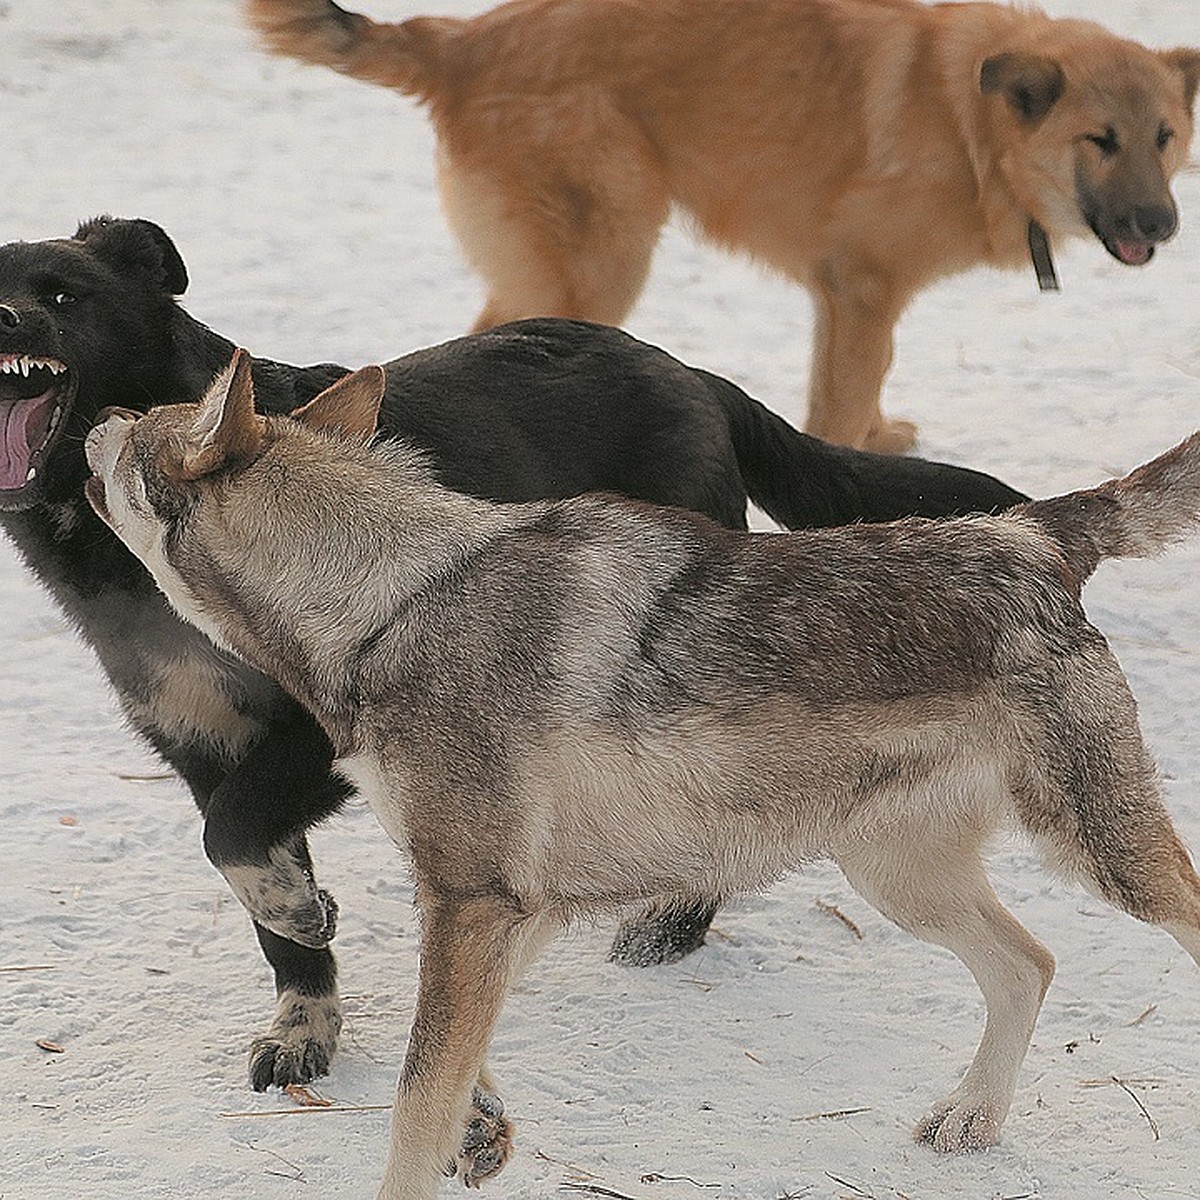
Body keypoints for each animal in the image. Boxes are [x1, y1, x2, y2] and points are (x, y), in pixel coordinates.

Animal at [0, 213, 1027, 1089]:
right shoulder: (201, 746)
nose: (6, 315)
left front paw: (299, 913)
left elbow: (235, 835)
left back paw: (672, 925)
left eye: (62, 294)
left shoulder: (325, 732)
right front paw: (302, 1019)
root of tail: (692, 373)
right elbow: (254, 883)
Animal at [84, 350, 1200, 1195]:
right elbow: (455, 1068)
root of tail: (1031, 533)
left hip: (1103, 858)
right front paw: (482, 1131)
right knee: (1030, 965)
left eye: (143, 422)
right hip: (900, 879)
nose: (97, 412)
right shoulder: (510, 908)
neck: (391, 601)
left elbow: (412, 1102)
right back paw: (972, 1120)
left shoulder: (473, 902)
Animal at [246, 0, 1200, 451]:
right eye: (1101, 140)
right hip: (603, 262)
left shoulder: (852, 299)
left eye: (1164, 137)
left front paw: (880, 440)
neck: (974, 125)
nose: (1161, 224)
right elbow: (843, 401)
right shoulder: (863, 287)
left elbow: (866, 385)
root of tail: (459, 41)